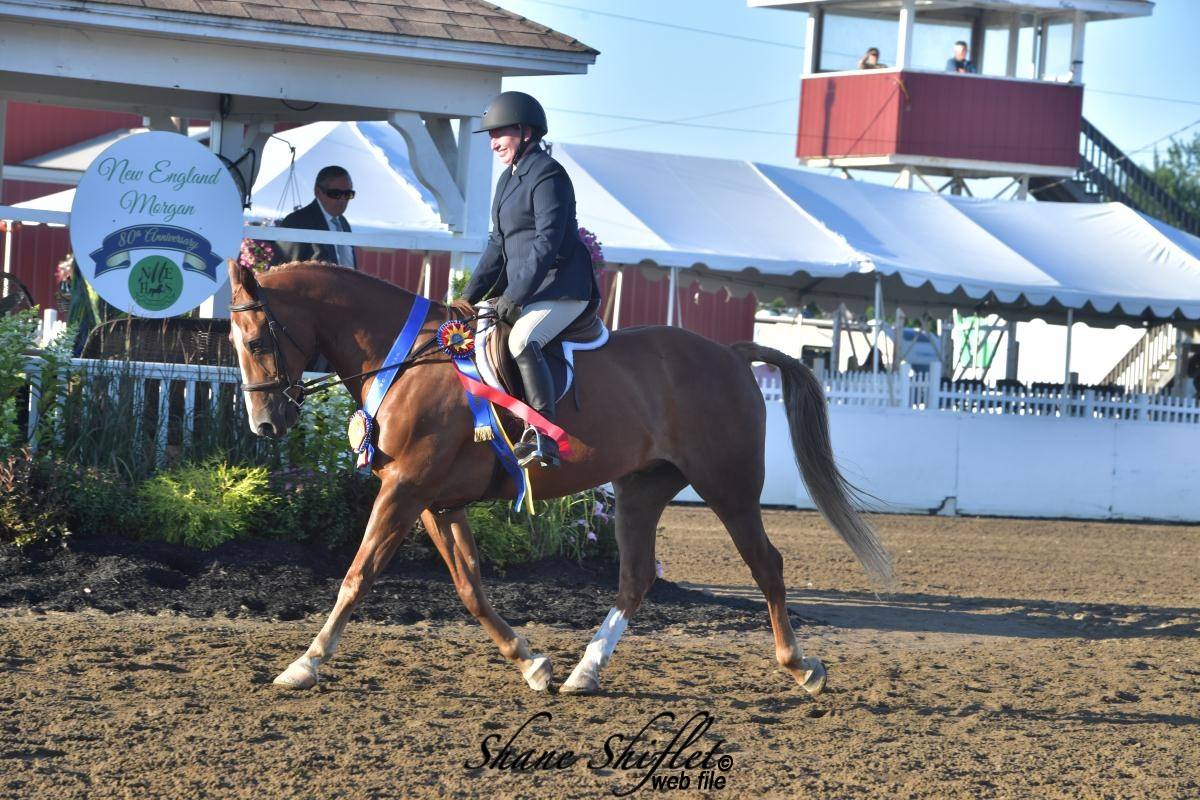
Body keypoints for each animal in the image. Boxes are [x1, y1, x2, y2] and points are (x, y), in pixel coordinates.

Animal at [226, 261, 892, 695]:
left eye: (256, 340)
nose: (264, 423)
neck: (408, 358)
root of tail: (728, 353)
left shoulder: (406, 489)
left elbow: (357, 576)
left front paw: (305, 664)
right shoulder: (436, 503)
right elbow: (470, 588)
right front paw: (530, 662)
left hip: (727, 486)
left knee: (766, 565)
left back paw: (800, 666)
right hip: (642, 488)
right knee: (636, 577)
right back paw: (584, 672)